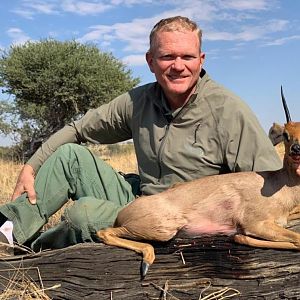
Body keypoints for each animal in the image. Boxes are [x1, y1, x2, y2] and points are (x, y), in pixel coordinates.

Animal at [96, 88, 300, 278]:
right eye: (286, 134)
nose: (296, 149)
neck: (277, 185)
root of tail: (124, 211)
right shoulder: (255, 224)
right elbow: (297, 239)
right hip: (162, 230)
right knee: (103, 232)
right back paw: (146, 262)